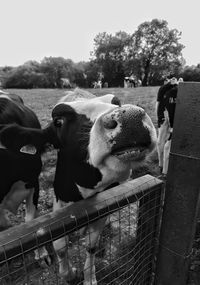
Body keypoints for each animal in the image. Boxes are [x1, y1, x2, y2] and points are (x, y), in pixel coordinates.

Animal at [1, 88, 158, 284]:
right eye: (58, 121)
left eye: (116, 102)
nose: (130, 116)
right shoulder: (58, 200)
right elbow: (59, 245)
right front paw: (69, 273)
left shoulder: (101, 207)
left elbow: (91, 246)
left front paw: (89, 277)